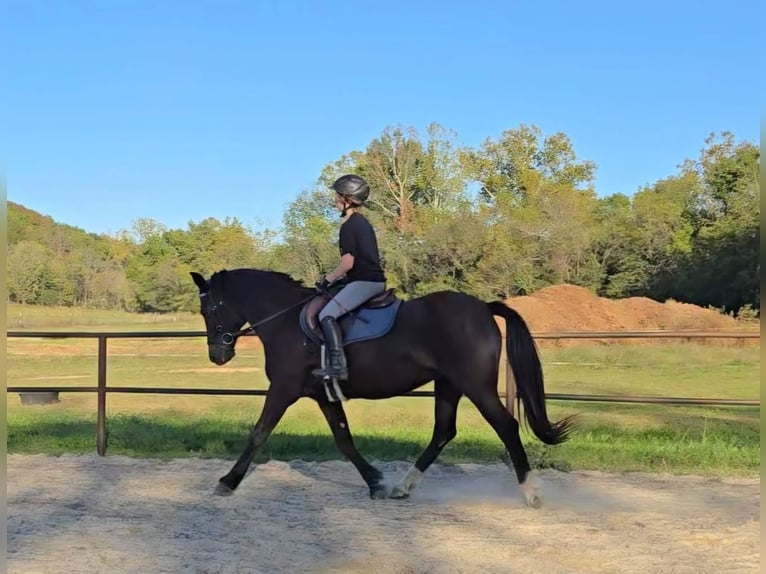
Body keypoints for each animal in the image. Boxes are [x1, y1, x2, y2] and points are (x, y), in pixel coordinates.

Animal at [190, 270, 576, 508]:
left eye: (209, 308)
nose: (217, 355)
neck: (285, 320)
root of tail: (482, 307)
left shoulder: (283, 389)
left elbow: (258, 433)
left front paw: (228, 481)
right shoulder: (322, 394)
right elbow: (344, 440)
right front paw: (375, 481)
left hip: (475, 386)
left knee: (506, 426)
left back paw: (531, 493)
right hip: (448, 385)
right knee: (443, 432)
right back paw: (402, 487)